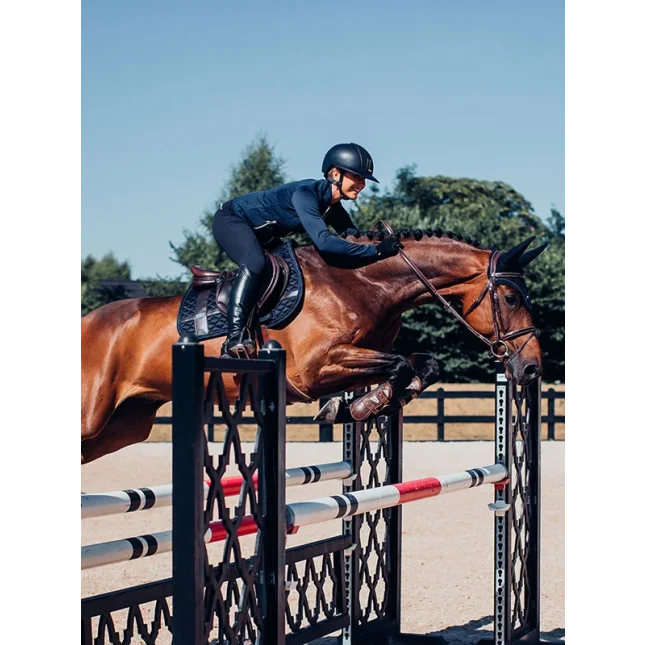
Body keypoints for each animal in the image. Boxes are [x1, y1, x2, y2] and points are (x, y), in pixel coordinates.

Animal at [80, 223, 547, 464]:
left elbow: (421, 364)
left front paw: (367, 403)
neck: (362, 283)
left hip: (126, 423)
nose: (531, 368)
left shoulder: (358, 358)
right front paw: (358, 405)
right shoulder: (316, 368)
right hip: (93, 416)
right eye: (510, 298)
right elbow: (399, 365)